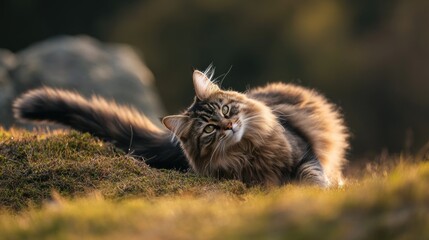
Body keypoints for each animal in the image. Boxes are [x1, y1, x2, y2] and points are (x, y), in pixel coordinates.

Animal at [12, 66, 348, 188]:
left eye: (226, 109)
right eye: (209, 130)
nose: (229, 125)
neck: (247, 151)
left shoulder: (303, 153)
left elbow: (313, 176)